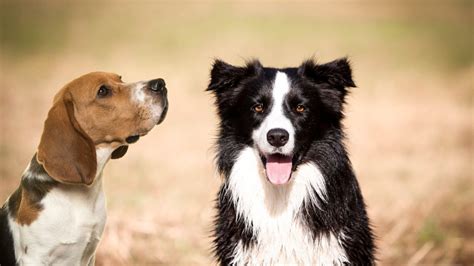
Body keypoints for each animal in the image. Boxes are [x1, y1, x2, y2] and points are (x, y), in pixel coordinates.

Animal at [0, 71, 169, 264]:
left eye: (120, 79)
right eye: (103, 91)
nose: (160, 84)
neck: (81, 196)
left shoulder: (90, 252)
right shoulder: (34, 258)